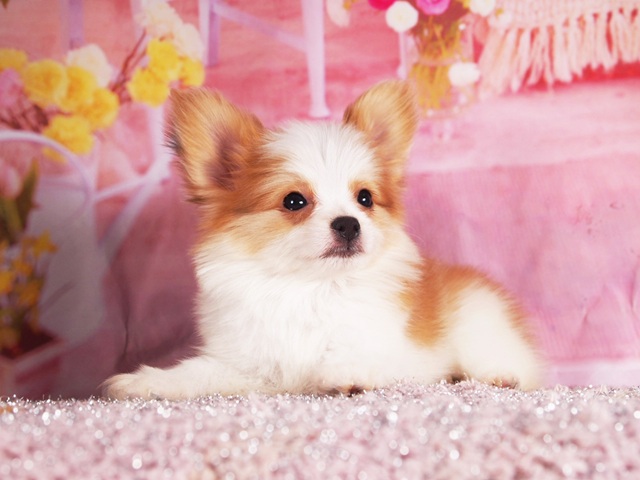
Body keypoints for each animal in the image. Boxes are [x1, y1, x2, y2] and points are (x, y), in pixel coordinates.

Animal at [104, 81, 542, 399]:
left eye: (365, 198)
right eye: (294, 201)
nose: (349, 224)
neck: (309, 288)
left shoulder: (401, 350)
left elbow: (366, 358)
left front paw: (346, 374)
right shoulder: (250, 365)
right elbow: (198, 373)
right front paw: (147, 381)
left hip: (477, 317)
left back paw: (499, 375)